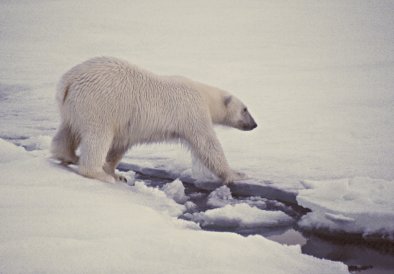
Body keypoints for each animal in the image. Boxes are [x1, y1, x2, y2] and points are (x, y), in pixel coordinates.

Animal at [50, 56, 258, 183]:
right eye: (245, 109)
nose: (255, 124)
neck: (204, 95)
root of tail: (68, 80)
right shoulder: (192, 111)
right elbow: (207, 144)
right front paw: (237, 174)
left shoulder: (128, 126)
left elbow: (120, 146)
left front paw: (116, 173)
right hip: (99, 104)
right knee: (97, 136)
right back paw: (97, 172)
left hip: (75, 106)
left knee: (68, 130)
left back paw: (68, 156)